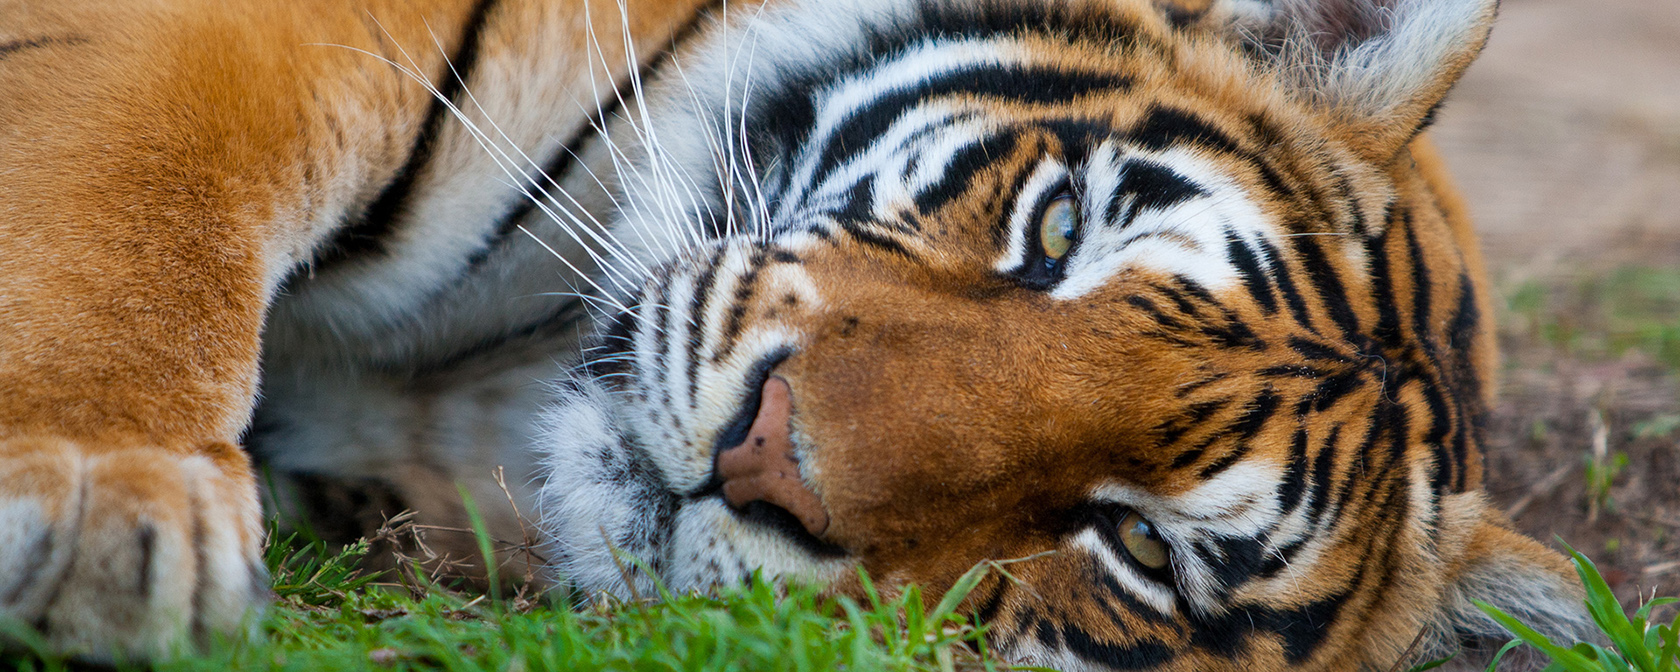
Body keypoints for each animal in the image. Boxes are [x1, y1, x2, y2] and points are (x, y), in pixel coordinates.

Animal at [0, 0, 1592, 665]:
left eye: (1138, 545)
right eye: (1059, 233)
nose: (763, 456)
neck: (480, 382)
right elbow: (145, 186)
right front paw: (104, 505)